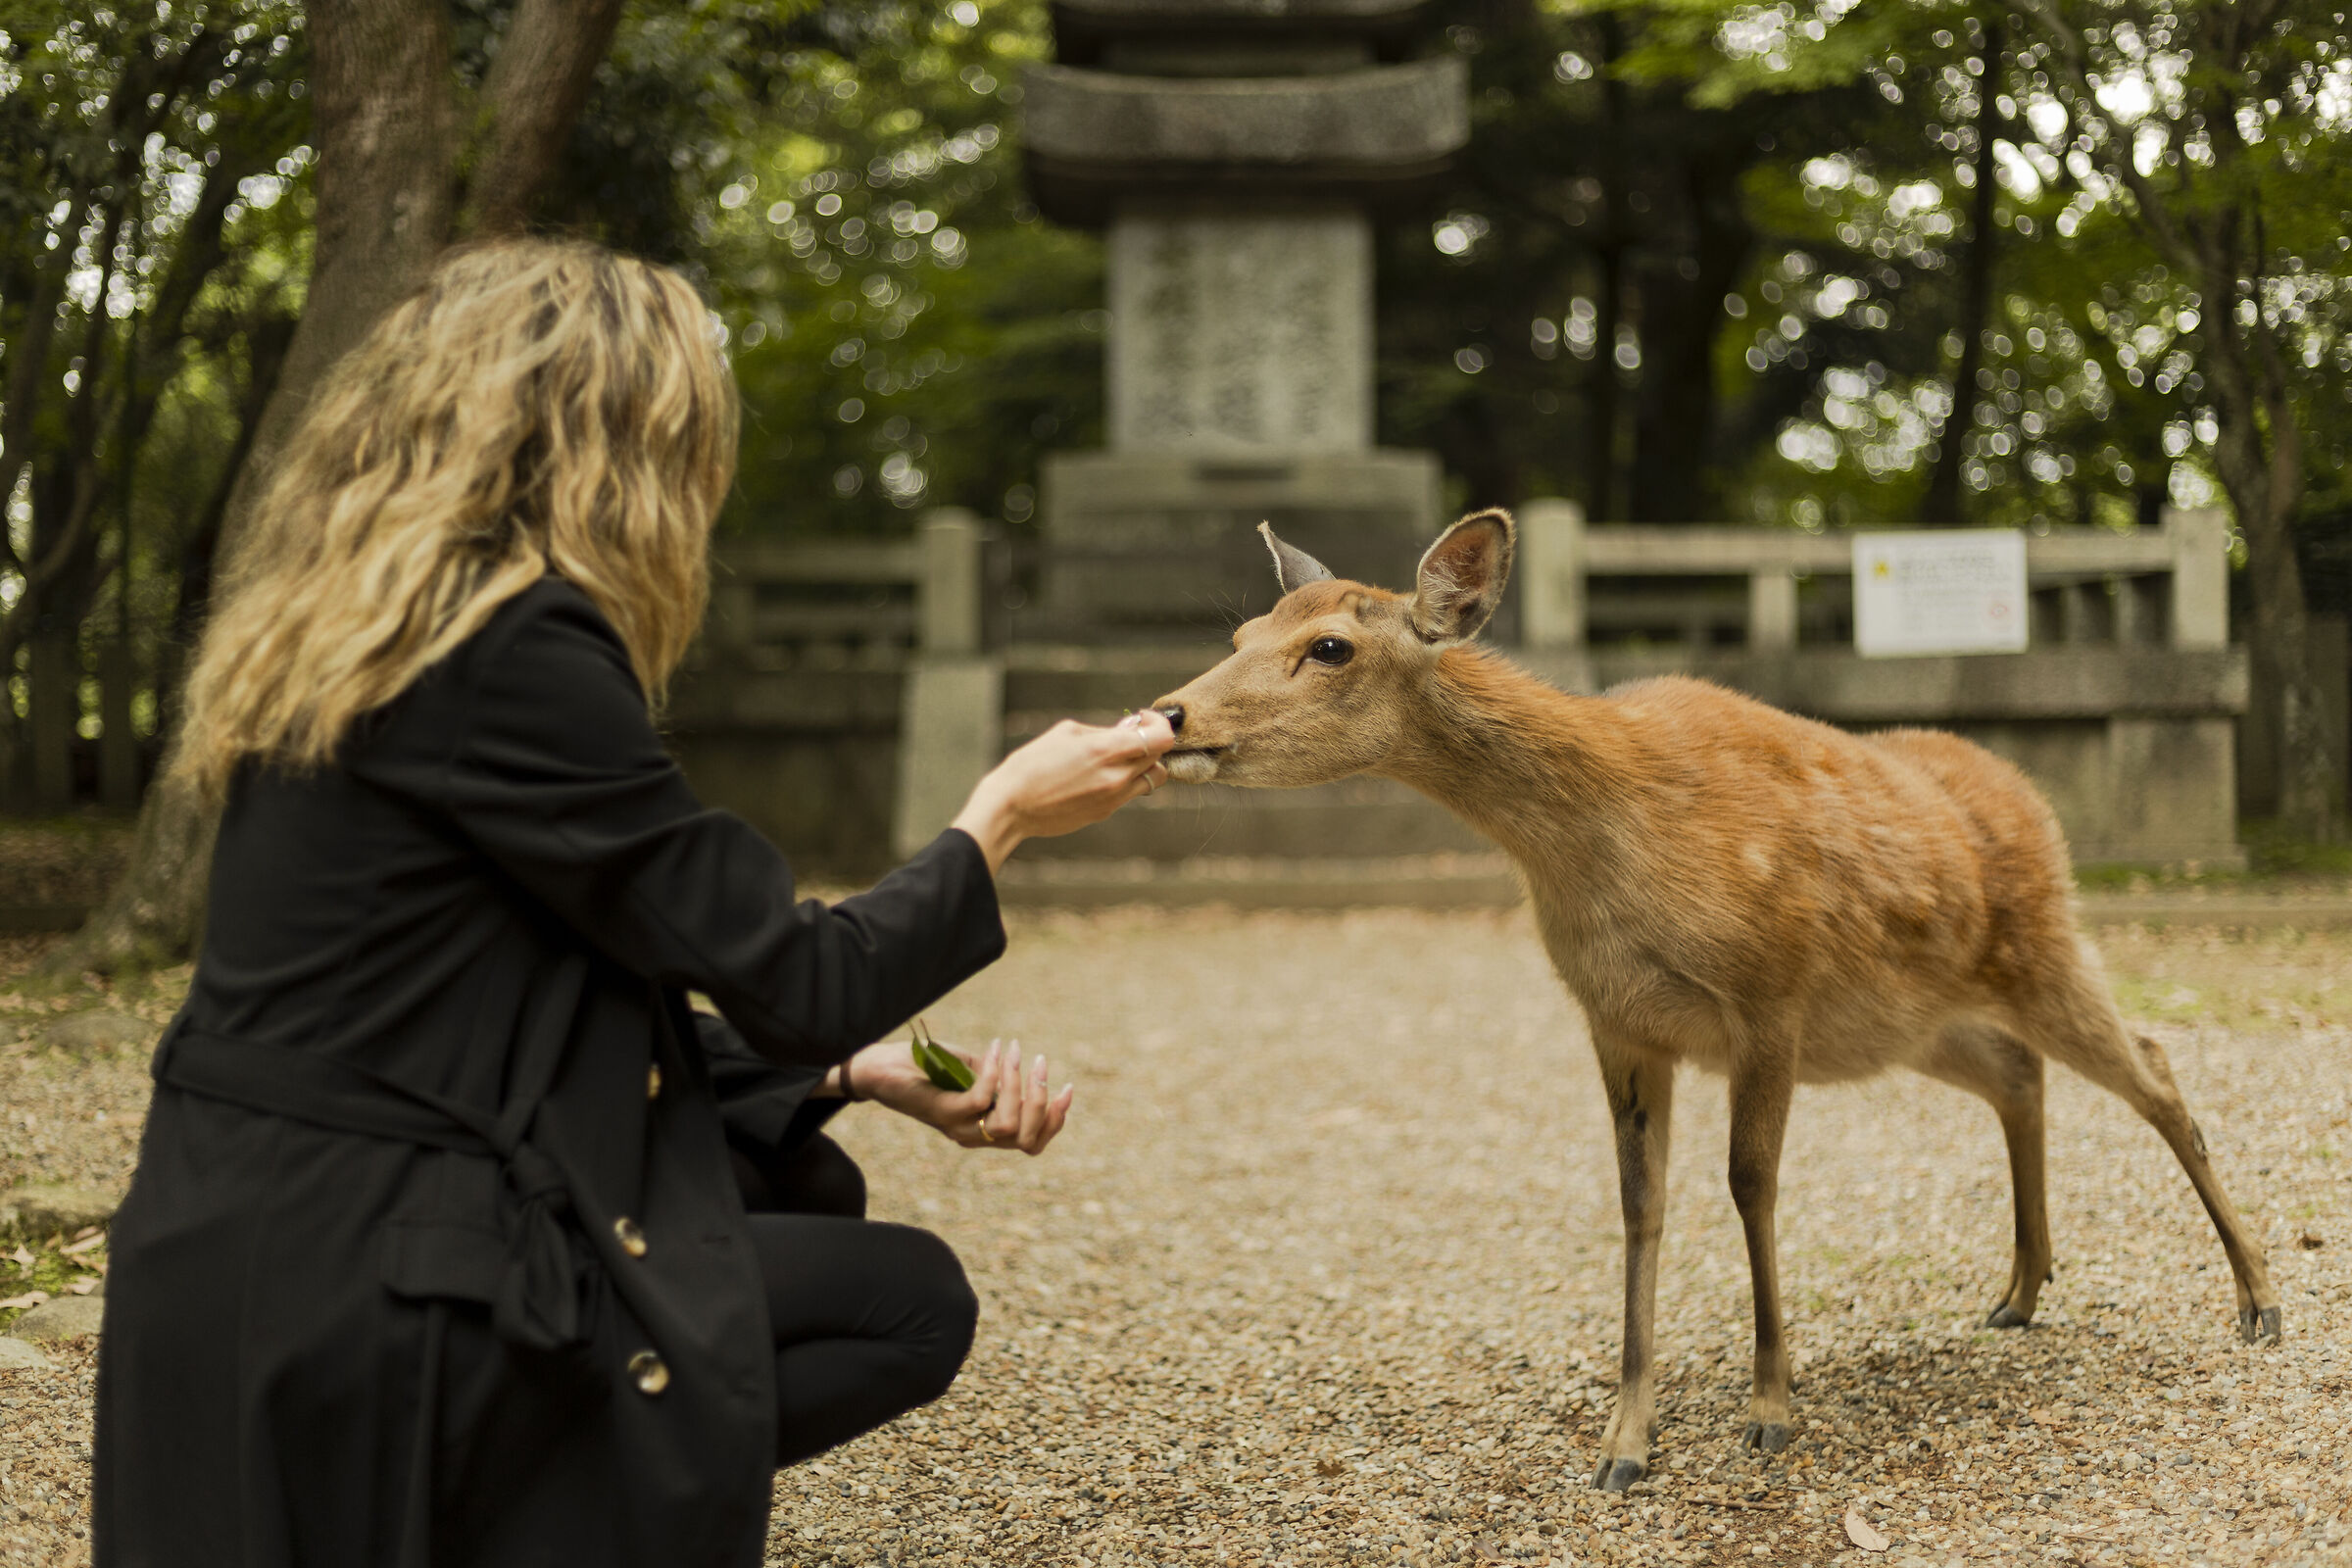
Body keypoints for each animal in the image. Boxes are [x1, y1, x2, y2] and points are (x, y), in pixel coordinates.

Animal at [1147, 507, 2280, 1491]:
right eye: (1242, 631)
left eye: (1330, 646)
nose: (1171, 714)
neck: (1605, 848)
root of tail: (2036, 803)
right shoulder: (1615, 1019)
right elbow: (1639, 1204)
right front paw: (1624, 1444)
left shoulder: (1768, 992)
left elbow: (1750, 1183)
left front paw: (1771, 1411)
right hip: (1910, 1023)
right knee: (2019, 1071)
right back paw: (2020, 1291)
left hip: (2041, 946)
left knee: (2153, 1066)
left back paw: (2259, 1301)